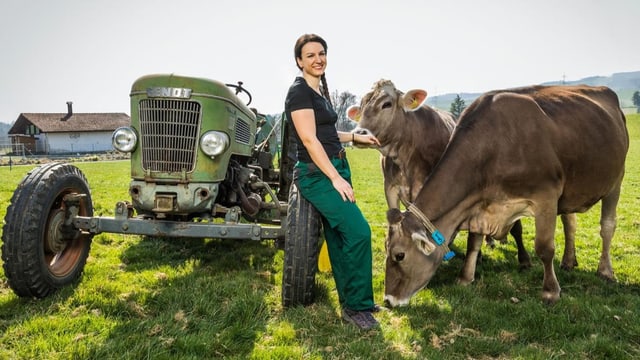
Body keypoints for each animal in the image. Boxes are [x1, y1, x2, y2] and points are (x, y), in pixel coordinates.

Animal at [382, 84, 628, 306]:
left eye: (399, 255)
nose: (388, 300)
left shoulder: (546, 196)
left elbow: (544, 248)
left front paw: (550, 291)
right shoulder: (479, 203)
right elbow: (473, 243)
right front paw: (465, 277)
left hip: (616, 180)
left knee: (607, 226)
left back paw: (605, 270)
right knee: (571, 223)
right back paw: (569, 260)